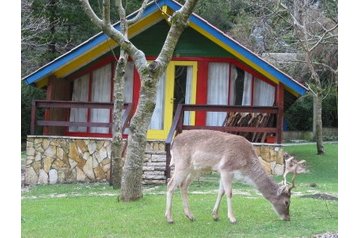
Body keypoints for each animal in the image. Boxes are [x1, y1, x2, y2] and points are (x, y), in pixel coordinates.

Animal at [166, 129, 300, 224]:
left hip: (195, 169)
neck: (245, 166)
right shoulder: (226, 169)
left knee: (183, 185)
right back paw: (169, 218)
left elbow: (221, 192)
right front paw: (232, 218)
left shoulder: (222, 172)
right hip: (182, 163)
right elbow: (229, 193)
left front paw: (215, 216)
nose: (287, 218)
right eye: (287, 202)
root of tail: (173, 142)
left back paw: (190, 216)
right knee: (170, 184)